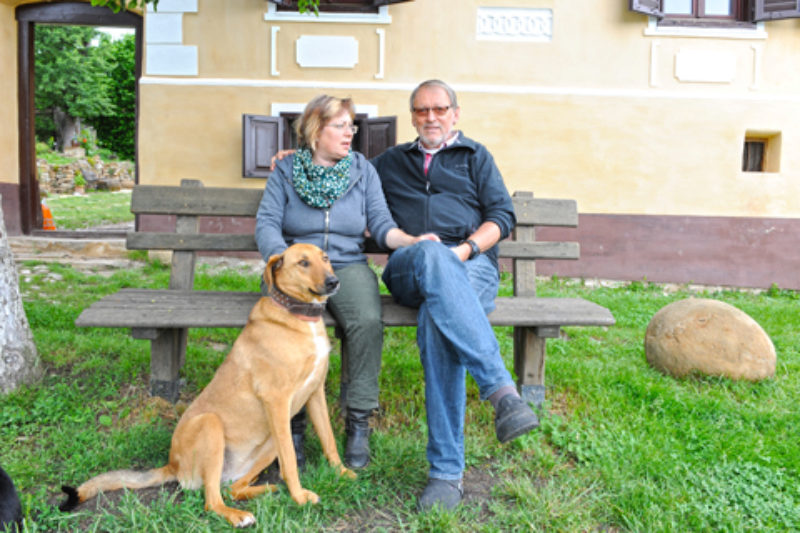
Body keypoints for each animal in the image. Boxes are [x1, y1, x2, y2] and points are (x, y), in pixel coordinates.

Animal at [64, 243, 358, 524]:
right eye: (303, 262)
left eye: (325, 258)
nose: (334, 282)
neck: (298, 317)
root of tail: (172, 465)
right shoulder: (277, 400)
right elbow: (291, 462)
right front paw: (299, 496)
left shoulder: (314, 394)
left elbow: (329, 440)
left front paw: (342, 472)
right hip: (212, 424)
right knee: (212, 501)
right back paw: (238, 515)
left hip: (269, 442)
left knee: (233, 489)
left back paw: (266, 491)